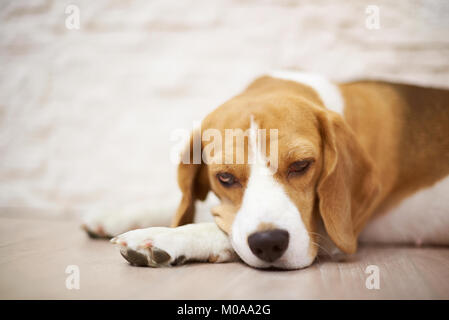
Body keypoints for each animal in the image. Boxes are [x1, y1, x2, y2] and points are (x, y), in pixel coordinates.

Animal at [83, 71, 448, 268]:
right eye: (225, 177)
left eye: (301, 165)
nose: (269, 242)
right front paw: (118, 215)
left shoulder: (329, 233)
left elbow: (216, 228)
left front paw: (162, 237)